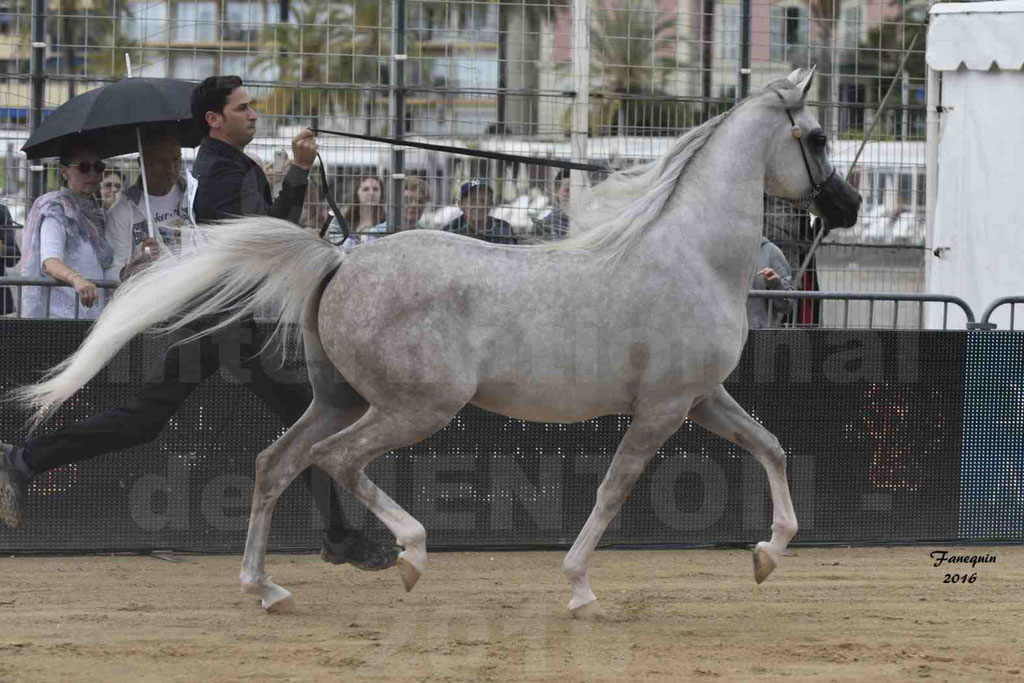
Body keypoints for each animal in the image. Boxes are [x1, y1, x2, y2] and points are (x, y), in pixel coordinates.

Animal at [19, 68, 860, 614]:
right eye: (817, 136)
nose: (848, 205)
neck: (689, 254)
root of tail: (339, 260)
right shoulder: (662, 409)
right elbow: (613, 490)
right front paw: (580, 587)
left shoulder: (702, 396)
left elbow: (773, 446)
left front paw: (767, 554)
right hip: (415, 407)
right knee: (339, 462)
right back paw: (410, 555)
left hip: (336, 398)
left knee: (276, 463)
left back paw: (267, 587)